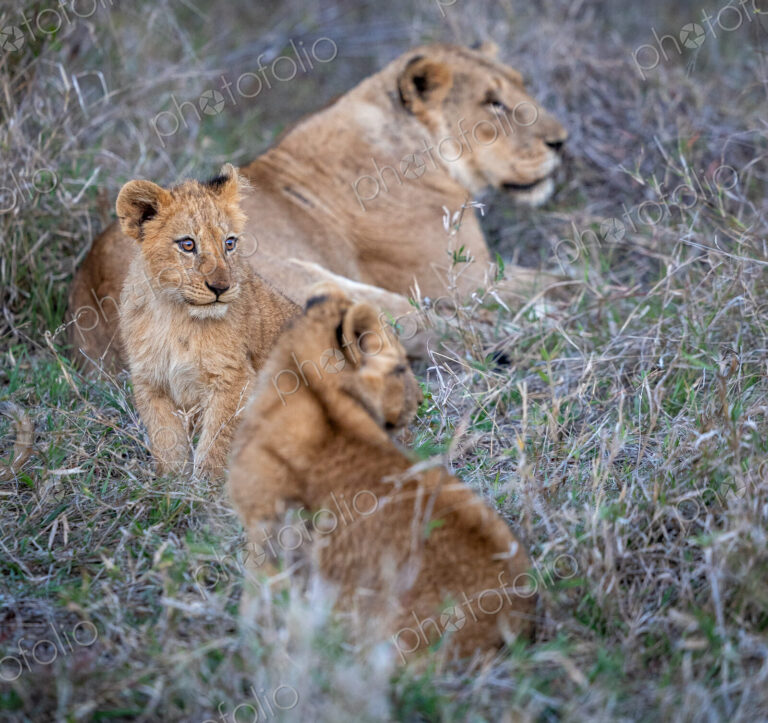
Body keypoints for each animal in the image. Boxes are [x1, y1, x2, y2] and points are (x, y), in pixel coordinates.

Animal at [67, 42, 568, 373]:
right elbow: (560, 280)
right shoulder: (461, 277)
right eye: (493, 103)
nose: (562, 142)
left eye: (522, 87)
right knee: (435, 326)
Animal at [118, 164, 297, 480]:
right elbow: (166, 440)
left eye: (230, 243)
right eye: (188, 244)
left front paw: (204, 487)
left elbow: (216, 443)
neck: (175, 316)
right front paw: (170, 485)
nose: (220, 288)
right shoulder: (150, 382)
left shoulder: (234, 380)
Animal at [228, 286, 536, 662]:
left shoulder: (266, 536)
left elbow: (256, 599)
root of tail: (520, 618)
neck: (315, 390)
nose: (421, 402)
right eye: (402, 368)